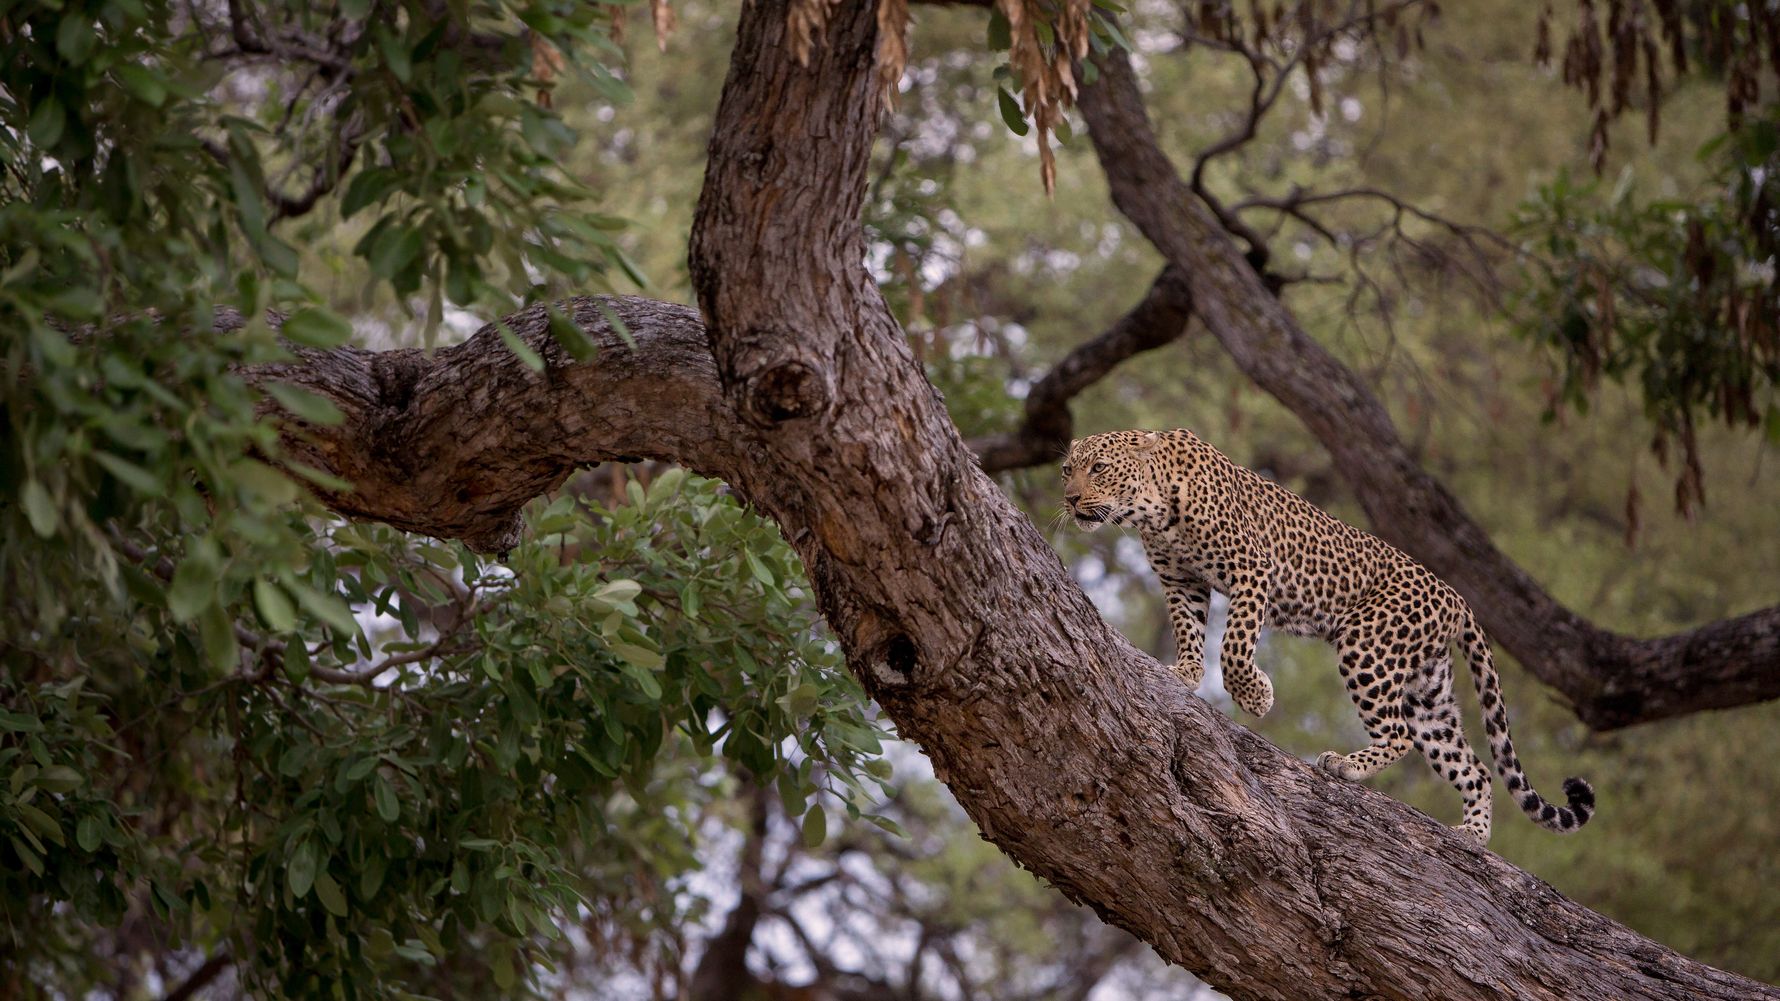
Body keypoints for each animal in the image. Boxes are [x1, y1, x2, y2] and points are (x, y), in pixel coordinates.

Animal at [1061, 428, 1594, 844]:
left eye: (1099, 468)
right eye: (1068, 469)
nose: (1069, 498)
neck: (1151, 508)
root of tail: (1456, 598)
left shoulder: (1252, 569)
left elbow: (1234, 645)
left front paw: (1256, 696)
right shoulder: (1180, 580)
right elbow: (1189, 630)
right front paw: (1186, 672)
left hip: (1367, 647)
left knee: (1399, 734)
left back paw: (1347, 765)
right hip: (1428, 691)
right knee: (1473, 766)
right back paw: (1473, 834)